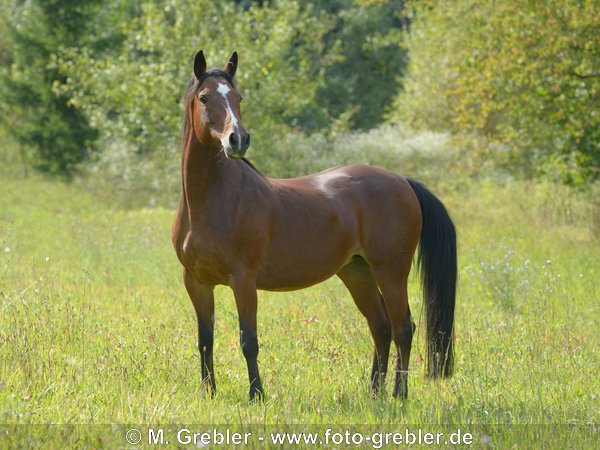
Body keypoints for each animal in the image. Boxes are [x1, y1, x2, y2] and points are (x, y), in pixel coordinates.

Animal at [171, 49, 458, 400]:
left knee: (403, 327)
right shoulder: (196, 282)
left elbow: (248, 341)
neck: (212, 201)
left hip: (391, 270)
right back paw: (374, 393)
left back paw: (398, 394)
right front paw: (208, 393)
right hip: (356, 271)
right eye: (204, 97)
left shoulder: (243, 280)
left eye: (239, 98)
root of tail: (403, 181)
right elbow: (205, 340)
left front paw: (256, 395)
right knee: (380, 326)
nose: (238, 140)